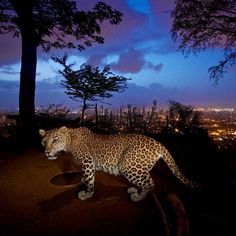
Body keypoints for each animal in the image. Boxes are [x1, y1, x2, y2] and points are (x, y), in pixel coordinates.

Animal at [39, 126, 198, 202]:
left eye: (55, 140)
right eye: (44, 142)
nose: (47, 152)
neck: (70, 141)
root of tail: (158, 144)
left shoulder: (88, 162)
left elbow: (90, 180)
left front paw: (87, 194)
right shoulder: (88, 165)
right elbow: (87, 177)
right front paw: (82, 183)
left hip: (128, 166)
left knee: (150, 183)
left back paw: (138, 197)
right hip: (138, 168)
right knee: (146, 180)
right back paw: (135, 190)